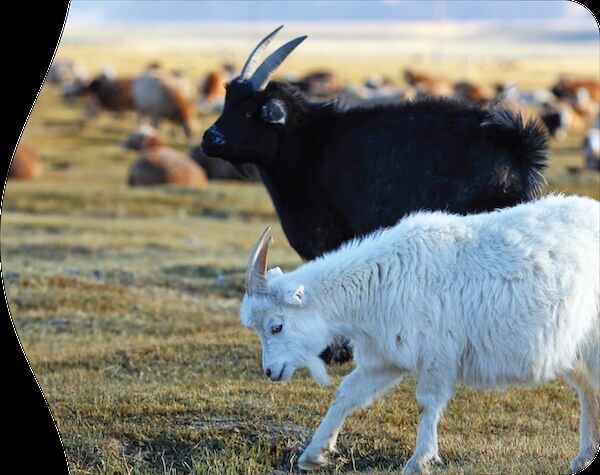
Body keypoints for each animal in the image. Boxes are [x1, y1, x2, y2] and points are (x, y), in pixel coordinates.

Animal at [203, 26, 548, 364]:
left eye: (250, 111)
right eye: (228, 100)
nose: (209, 139)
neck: (310, 144)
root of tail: (517, 146)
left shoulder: (329, 237)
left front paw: (335, 351)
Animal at [241, 195, 600, 474]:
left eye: (276, 326)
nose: (270, 371)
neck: (380, 281)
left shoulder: (435, 355)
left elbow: (427, 403)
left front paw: (419, 460)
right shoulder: (385, 359)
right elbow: (348, 393)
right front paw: (313, 454)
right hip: (574, 347)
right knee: (588, 390)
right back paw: (583, 456)